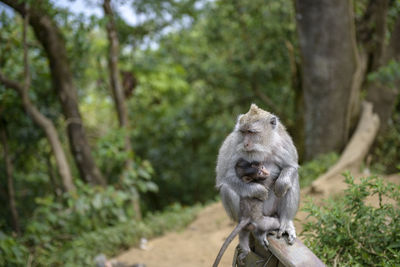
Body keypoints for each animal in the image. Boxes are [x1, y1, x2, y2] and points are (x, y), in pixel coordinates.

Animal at [217, 104, 298, 245]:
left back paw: (286, 222)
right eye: (243, 132)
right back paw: (250, 227)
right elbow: (225, 177)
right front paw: (258, 190)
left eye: (251, 132)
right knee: (227, 188)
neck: (264, 145)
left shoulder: (283, 141)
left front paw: (280, 185)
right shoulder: (233, 145)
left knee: (291, 182)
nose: (245, 143)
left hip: (272, 210)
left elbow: (291, 166)